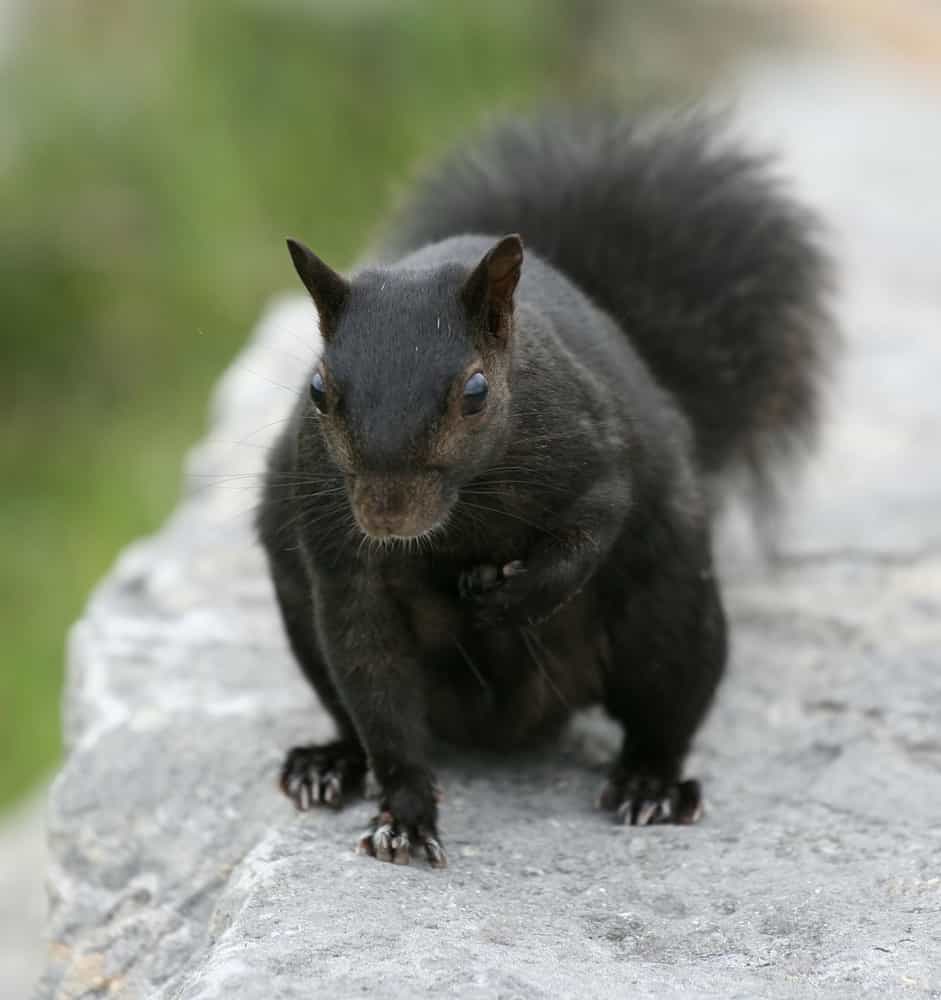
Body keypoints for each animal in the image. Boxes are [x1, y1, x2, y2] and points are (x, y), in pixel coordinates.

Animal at [257, 110, 836, 868]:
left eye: (475, 392)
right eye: (319, 390)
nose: (386, 518)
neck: (459, 518)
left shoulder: (594, 451)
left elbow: (592, 527)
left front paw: (510, 599)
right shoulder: (341, 556)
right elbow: (376, 690)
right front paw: (404, 816)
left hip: (670, 618)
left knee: (665, 710)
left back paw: (651, 786)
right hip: (299, 615)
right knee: (350, 711)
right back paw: (327, 763)